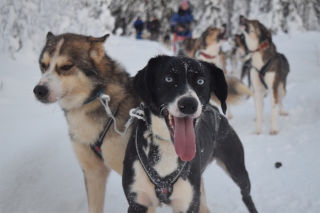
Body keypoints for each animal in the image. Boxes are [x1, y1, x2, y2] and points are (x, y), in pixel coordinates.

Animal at [122, 55, 258, 212]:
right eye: (168, 78)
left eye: (200, 81)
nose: (188, 104)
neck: (167, 146)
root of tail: (215, 110)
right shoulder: (137, 202)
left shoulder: (188, 204)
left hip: (237, 168)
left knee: (246, 195)